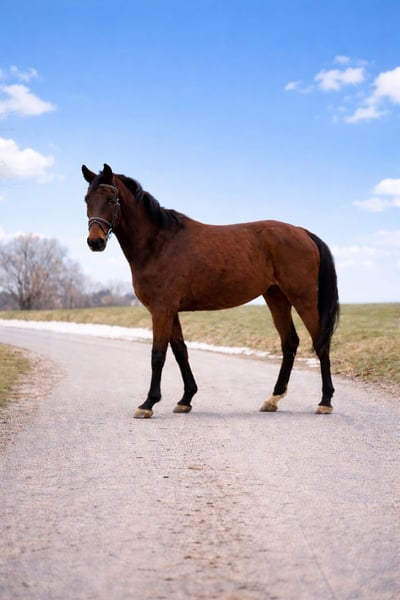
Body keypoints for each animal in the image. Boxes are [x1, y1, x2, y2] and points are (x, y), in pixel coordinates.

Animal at [82, 163, 339, 418]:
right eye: (87, 199)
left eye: (111, 199)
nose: (95, 242)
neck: (159, 243)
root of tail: (302, 232)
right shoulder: (170, 311)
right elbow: (180, 351)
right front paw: (186, 399)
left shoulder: (162, 310)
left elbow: (158, 355)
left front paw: (148, 403)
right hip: (276, 297)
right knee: (290, 343)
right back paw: (273, 399)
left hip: (303, 298)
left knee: (320, 343)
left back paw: (325, 401)